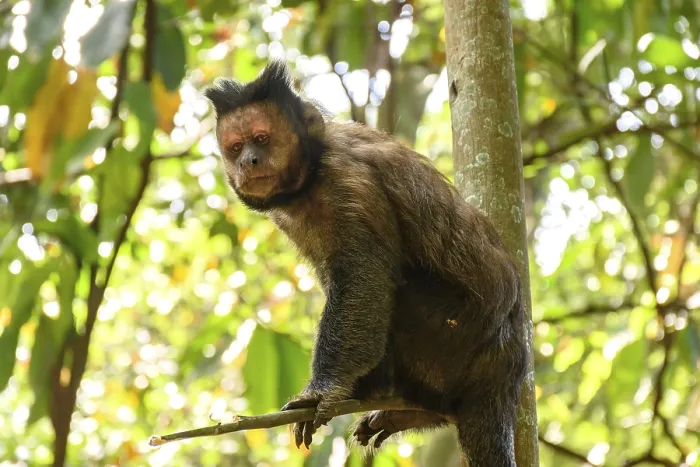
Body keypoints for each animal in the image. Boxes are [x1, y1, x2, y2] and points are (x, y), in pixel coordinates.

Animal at [204, 60, 528, 467]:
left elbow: (364, 278)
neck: (312, 174)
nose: (248, 160)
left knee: (397, 290)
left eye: (261, 139)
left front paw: (323, 390)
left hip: (456, 340)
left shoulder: (349, 181)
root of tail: (507, 367)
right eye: (235, 147)